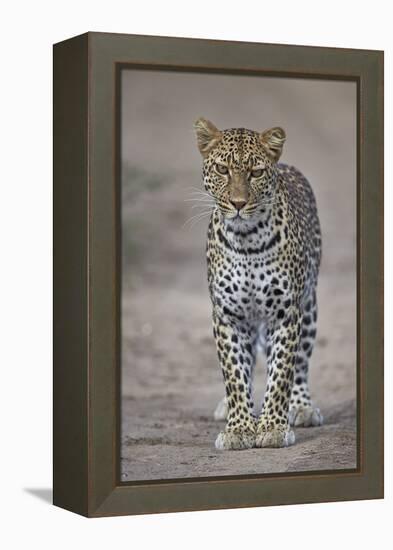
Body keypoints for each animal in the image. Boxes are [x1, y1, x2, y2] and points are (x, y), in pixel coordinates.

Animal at [194, 118, 324, 450]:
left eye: (256, 172)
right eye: (222, 169)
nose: (238, 204)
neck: (247, 239)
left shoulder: (286, 314)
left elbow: (281, 374)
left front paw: (273, 427)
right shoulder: (228, 316)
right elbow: (234, 374)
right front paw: (239, 428)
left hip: (309, 307)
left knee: (301, 364)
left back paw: (301, 407)